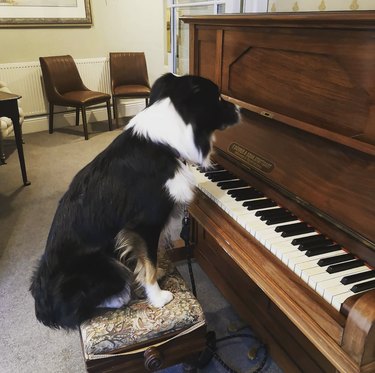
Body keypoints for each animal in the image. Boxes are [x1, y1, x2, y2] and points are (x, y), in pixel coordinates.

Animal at [30, 72, 241, 328]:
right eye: (218, 97)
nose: (240, 109)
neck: (166, 142)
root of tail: (42, 304)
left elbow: (148, 259)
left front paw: (156, 274)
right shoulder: (144, 224)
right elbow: (149, 262)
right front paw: (158, 297)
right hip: (103, 264)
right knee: (79, 309)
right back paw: (121, 295)